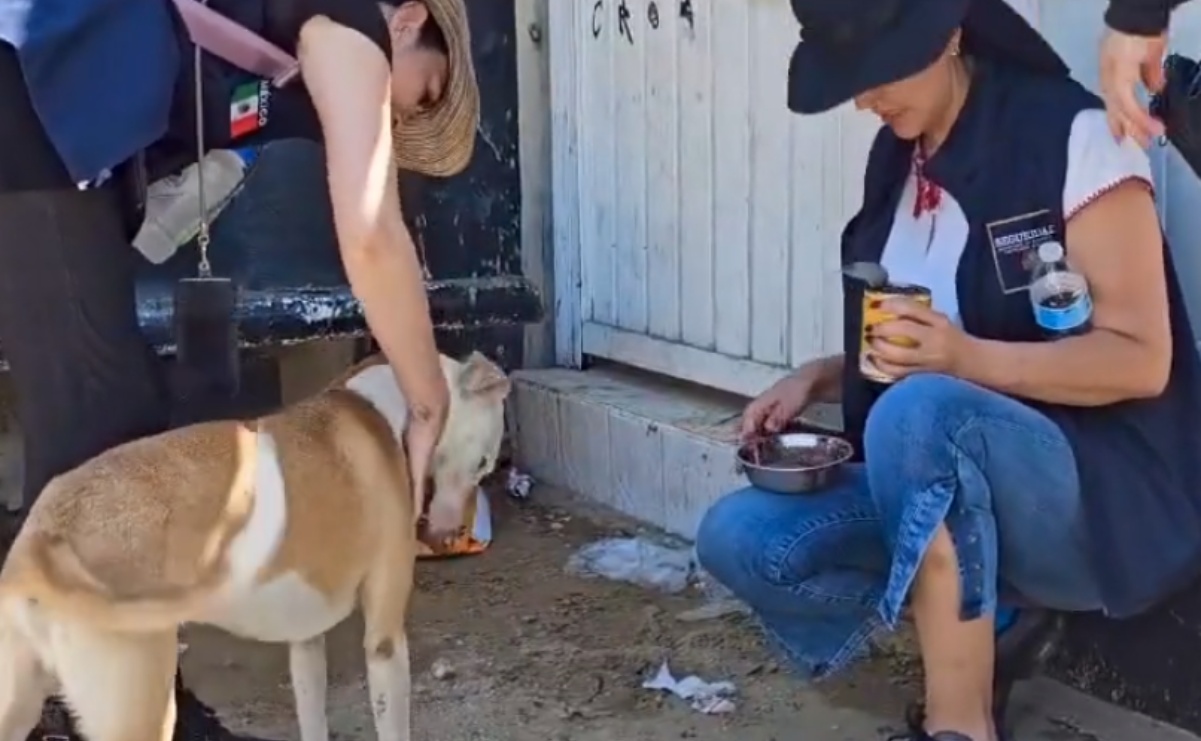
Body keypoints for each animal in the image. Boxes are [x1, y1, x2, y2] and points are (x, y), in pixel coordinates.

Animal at [0, 350, 511, 739]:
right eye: (485, 463)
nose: (446, 536)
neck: (390, 404)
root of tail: (42, 535)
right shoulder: (384, 643)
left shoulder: (305, 640)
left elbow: (312, 717)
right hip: (139, 705)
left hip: (19, 702)